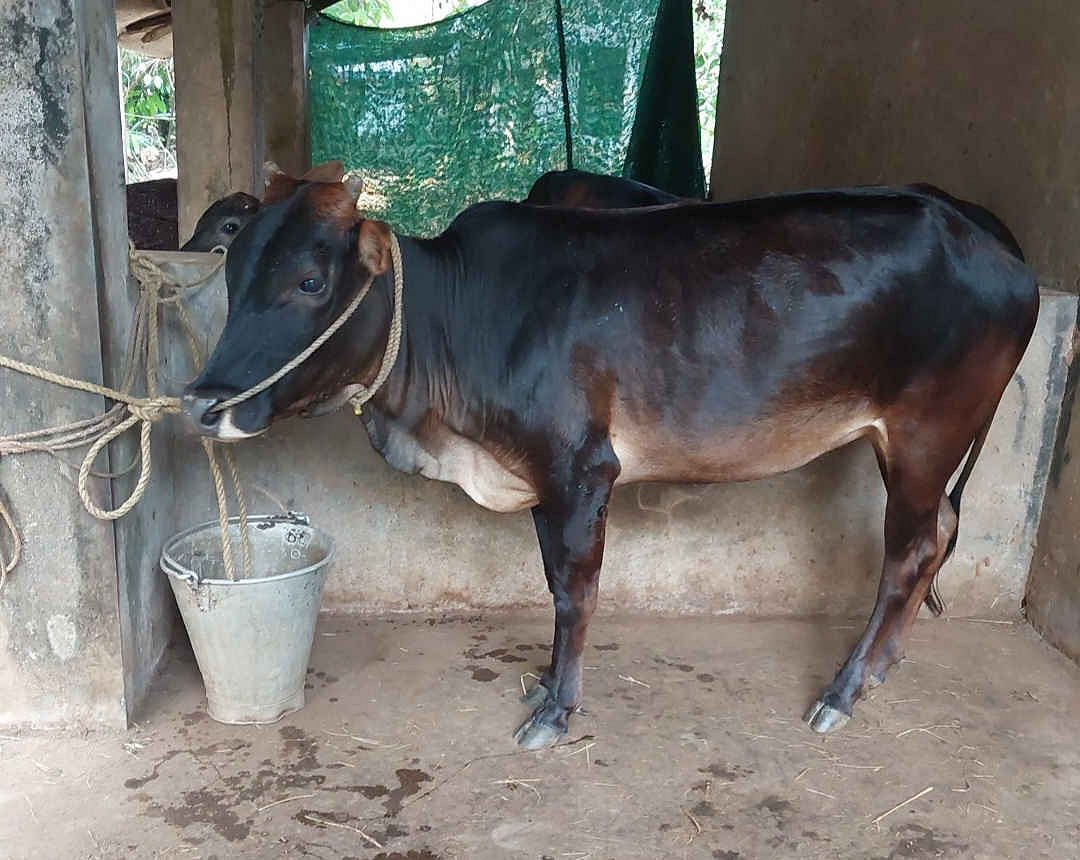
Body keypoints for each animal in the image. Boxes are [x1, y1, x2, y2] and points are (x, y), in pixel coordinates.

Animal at [182, 176, 1038, 750]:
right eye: (231, 271)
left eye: (309, 280)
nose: (199, 404)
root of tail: (987, 237)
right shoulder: (538, 477)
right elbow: (554, 584)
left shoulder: (581, 470)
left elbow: (574, 593)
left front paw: (557, 711)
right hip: (909, 449)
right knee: (939, 537)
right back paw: (883, 665)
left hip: (925, 437)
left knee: (908, 554)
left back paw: (844, 691)